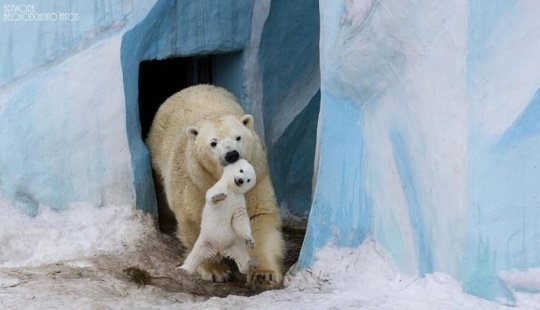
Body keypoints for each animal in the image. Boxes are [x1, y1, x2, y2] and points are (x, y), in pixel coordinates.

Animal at [146, 84, 284, 288]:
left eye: (238, 137)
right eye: (213, 143)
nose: (232, 154)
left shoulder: (257, 177)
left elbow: (257, 215)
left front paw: (263, 274)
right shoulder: (195, 182)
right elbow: (195, 219)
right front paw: (215, 270)